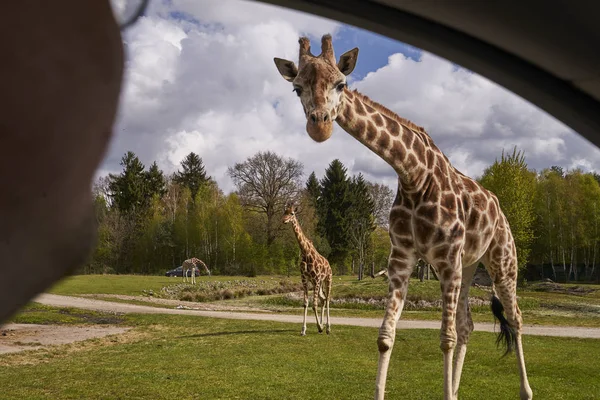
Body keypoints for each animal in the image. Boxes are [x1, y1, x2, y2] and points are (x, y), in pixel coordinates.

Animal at [282, 200, 332, 334]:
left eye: (292, 213)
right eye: (284, 212)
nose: (284, 220)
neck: (305, 252)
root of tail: (329, 264)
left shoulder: (317, 278)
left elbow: (313, 305)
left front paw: (319, 327)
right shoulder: (305, 279)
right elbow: (305, 303)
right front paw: (303, 329)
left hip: (327, 279)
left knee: (327, 299)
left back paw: (327, 327)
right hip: (317, 283)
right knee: (323, 299)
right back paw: (323, 325)